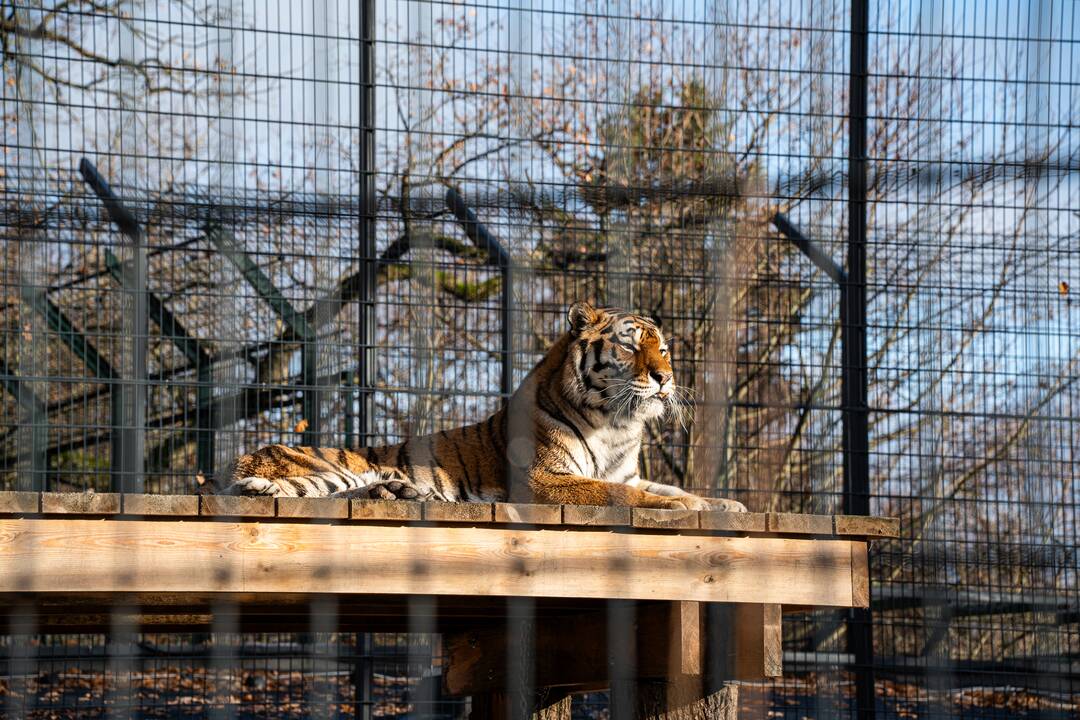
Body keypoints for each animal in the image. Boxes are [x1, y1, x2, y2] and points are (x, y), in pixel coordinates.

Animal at [216, 302, 747, 515]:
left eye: (665, 350)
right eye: (631, 345)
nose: (665, 378)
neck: (617, 423)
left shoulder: (628, 473)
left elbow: (664, 486)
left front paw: (724, 503)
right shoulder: (546, 479)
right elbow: (621, 495)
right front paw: (685, 506)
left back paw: (402, 491)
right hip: (327, 469)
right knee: (303, 493)